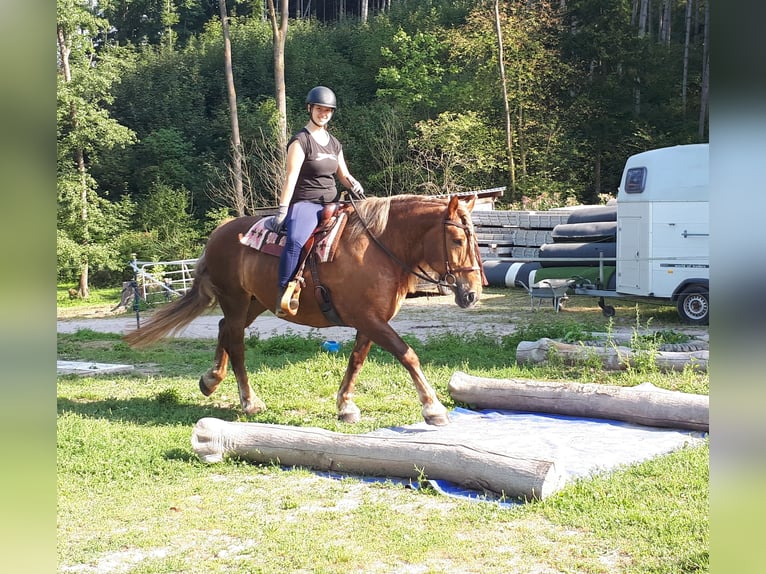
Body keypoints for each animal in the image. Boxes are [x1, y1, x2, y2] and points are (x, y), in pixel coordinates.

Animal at [124, 194, 485, 425]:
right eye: (457, 240)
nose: (472, 294)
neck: (377, 247)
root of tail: (218, 234)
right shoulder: (369, 319)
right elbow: (407, 354)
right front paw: (433, 408)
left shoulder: (371, 320)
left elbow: (356, 360)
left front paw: (345, 405)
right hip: (236, 299)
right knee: (236, 342)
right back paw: (249, 400)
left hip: (255, 302)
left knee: (224, 328)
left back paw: (211, 380)